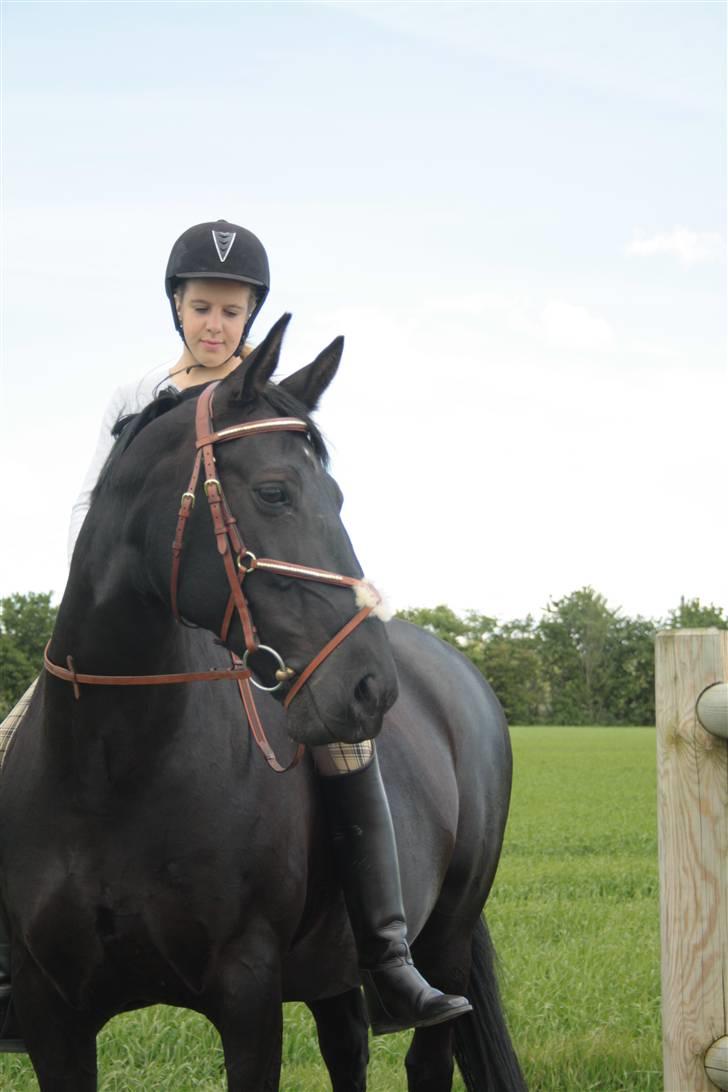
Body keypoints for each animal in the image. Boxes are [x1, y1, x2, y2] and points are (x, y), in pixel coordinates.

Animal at [0, 318, 523, 1092]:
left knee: (426, 1057)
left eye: (336, 496)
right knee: (347, 1049)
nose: (372, 687)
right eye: (275, 492)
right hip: (333, 971)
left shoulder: (247, 993)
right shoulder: (50, 1011)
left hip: (447, 942)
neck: (111, 770)